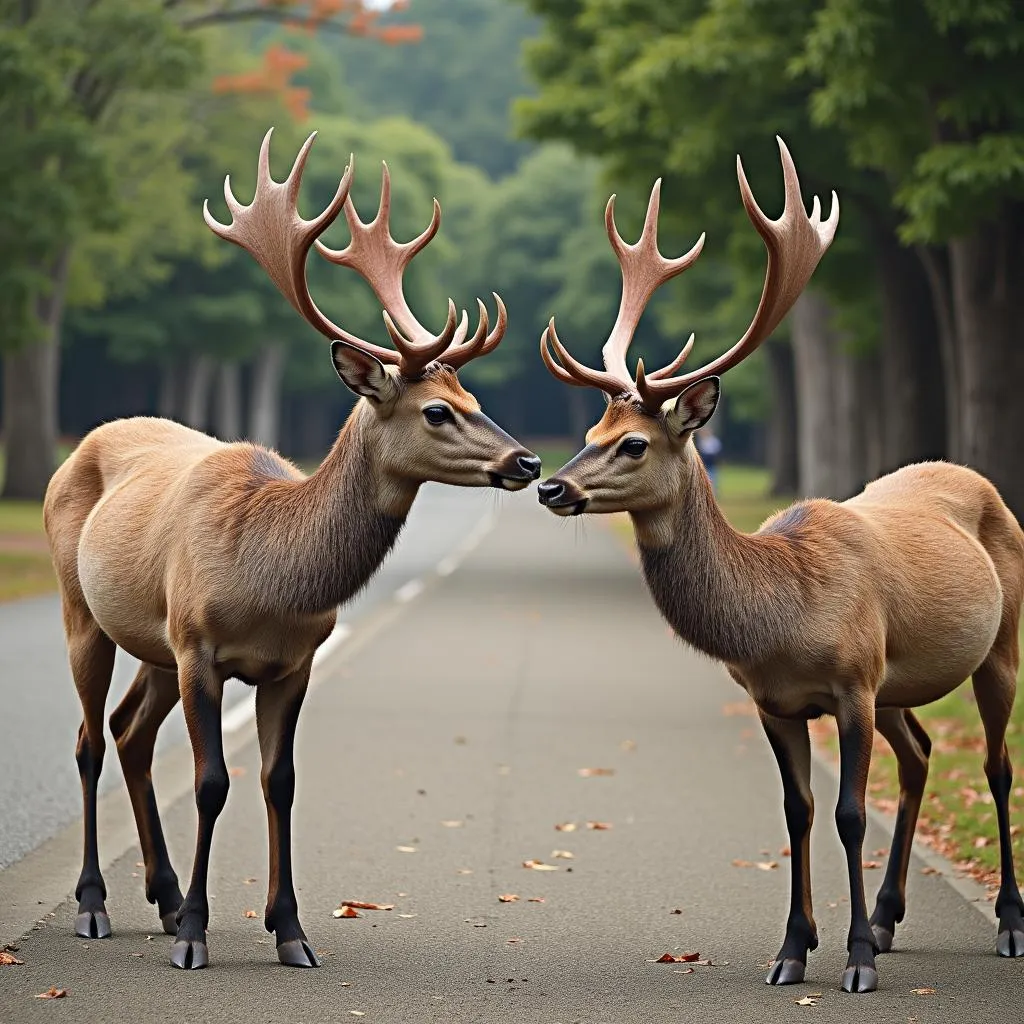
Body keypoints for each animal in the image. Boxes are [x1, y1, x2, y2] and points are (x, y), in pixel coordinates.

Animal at [44, 132, 540, 970]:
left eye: (475, 400)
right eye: (438, 411)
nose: (527, 462)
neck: (269, 577)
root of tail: (76, 448)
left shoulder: (294, 660)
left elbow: (280, 781)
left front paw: (291, 931)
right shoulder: (199, 646)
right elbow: (213, 782)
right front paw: (197, 936)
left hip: (152, 640)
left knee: (128, 733)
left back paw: (162, 895)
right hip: (82, 608)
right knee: (86, 741)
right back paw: (95, 905)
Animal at [536, 138, 1024, 991]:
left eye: (633, 443)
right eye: (591, 429)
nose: (551, 485)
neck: (783, 616)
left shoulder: (854, 682)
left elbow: (849, 814)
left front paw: (854, 959)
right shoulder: (774, 699)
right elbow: (798, 811)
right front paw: (794, 950)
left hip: (1000, 642)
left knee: (997, 766)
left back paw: (1006, 924)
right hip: (900, 684)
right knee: (923, 755)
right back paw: (892, 917)